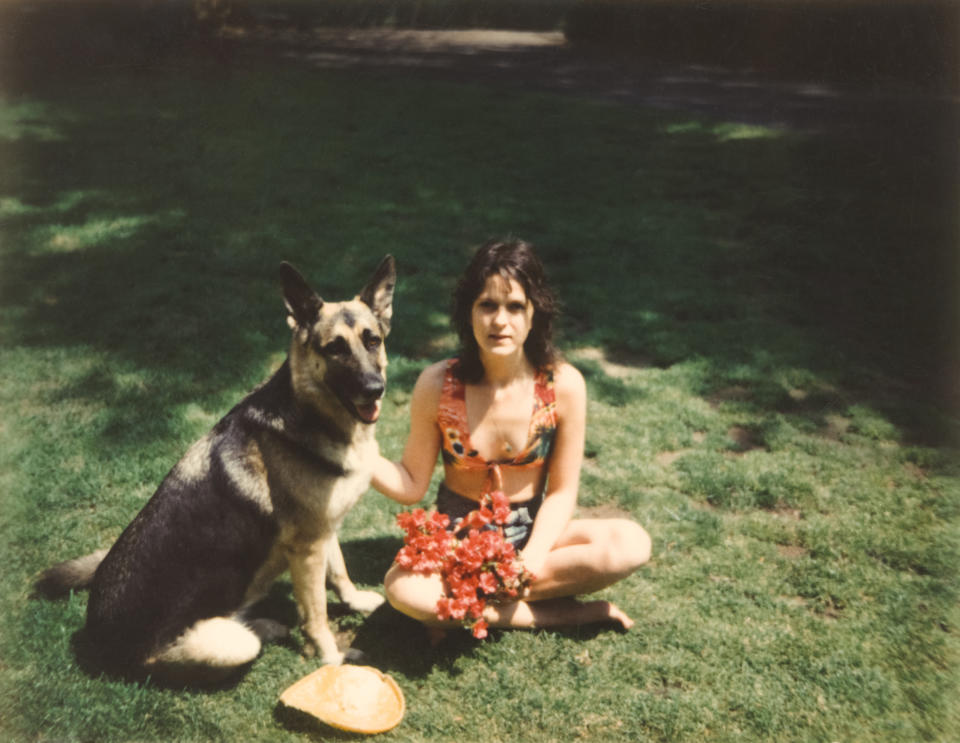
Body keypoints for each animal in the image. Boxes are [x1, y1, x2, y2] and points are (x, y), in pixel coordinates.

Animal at [33, 258, 394, 684]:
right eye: (335, 348)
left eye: (372, 341)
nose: (374, 389)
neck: (311, 414)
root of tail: (98, 640)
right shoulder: (307, 547)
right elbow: (316, 612)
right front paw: (329, 656)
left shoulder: (323, 531)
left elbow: (338, 572)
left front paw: (355, 601)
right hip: (226, 646)